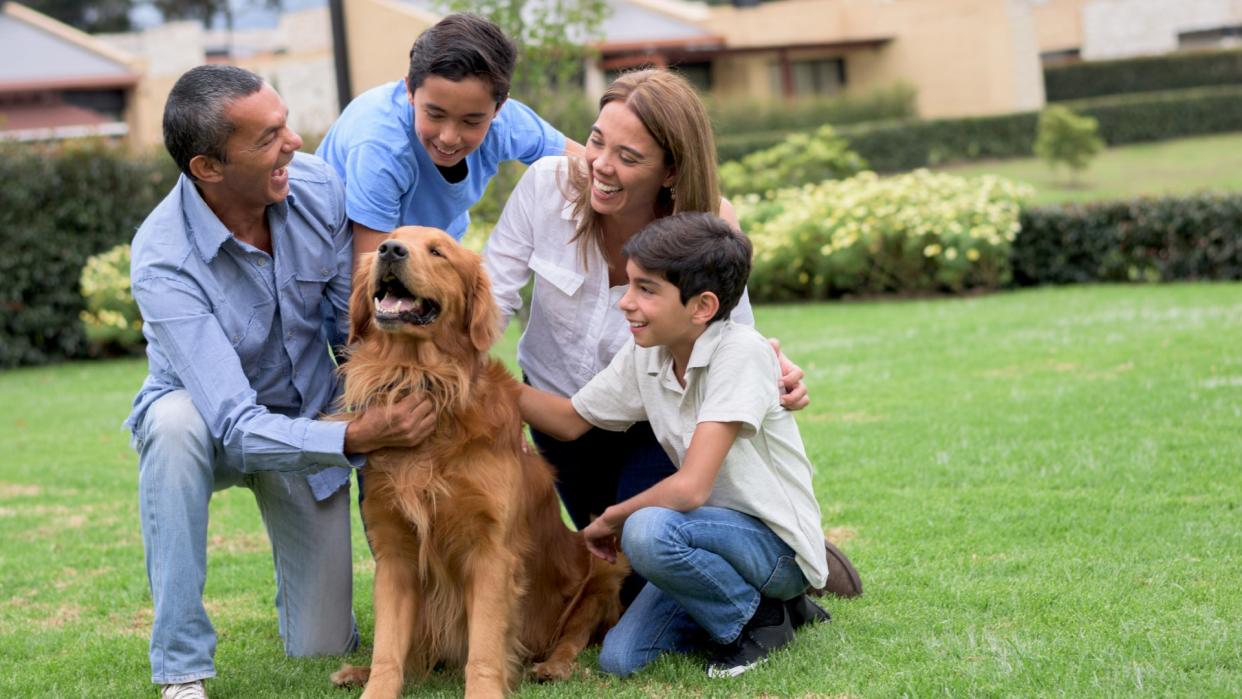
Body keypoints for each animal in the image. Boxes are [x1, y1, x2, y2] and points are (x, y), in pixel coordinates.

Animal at [330, 227, 625, 695]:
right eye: (388, 239)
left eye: (438, 252)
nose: (389, 250)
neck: (421, 378)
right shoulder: (394, 553)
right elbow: (389, 651)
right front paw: (374, 685)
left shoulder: (491, 553)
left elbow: (485, 647)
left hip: (603, 572)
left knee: (571, 640)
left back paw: (552, 666)